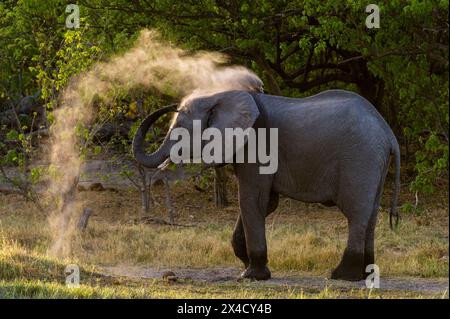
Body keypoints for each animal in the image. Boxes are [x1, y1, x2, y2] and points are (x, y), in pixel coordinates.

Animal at [132, 87, 400, 282]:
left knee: (356, 214)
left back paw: (341, 276)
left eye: (179, 129)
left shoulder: (257, 147)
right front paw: (247, 266)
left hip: (360, 158)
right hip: (373, 162)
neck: (220, 96)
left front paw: (251, 276)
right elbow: (265, 203)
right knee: (371, 215)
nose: (173, 104)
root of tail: (388, 133)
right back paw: (365, 275)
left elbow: (253, 201)